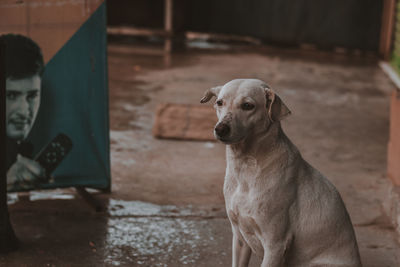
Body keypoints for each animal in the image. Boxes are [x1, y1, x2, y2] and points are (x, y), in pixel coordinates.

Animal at [202, 79, 360, 267]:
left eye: (248, 105)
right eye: (220, 102)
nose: (220, 129)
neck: (247, 166)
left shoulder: (276, 245)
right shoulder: (239, 238)